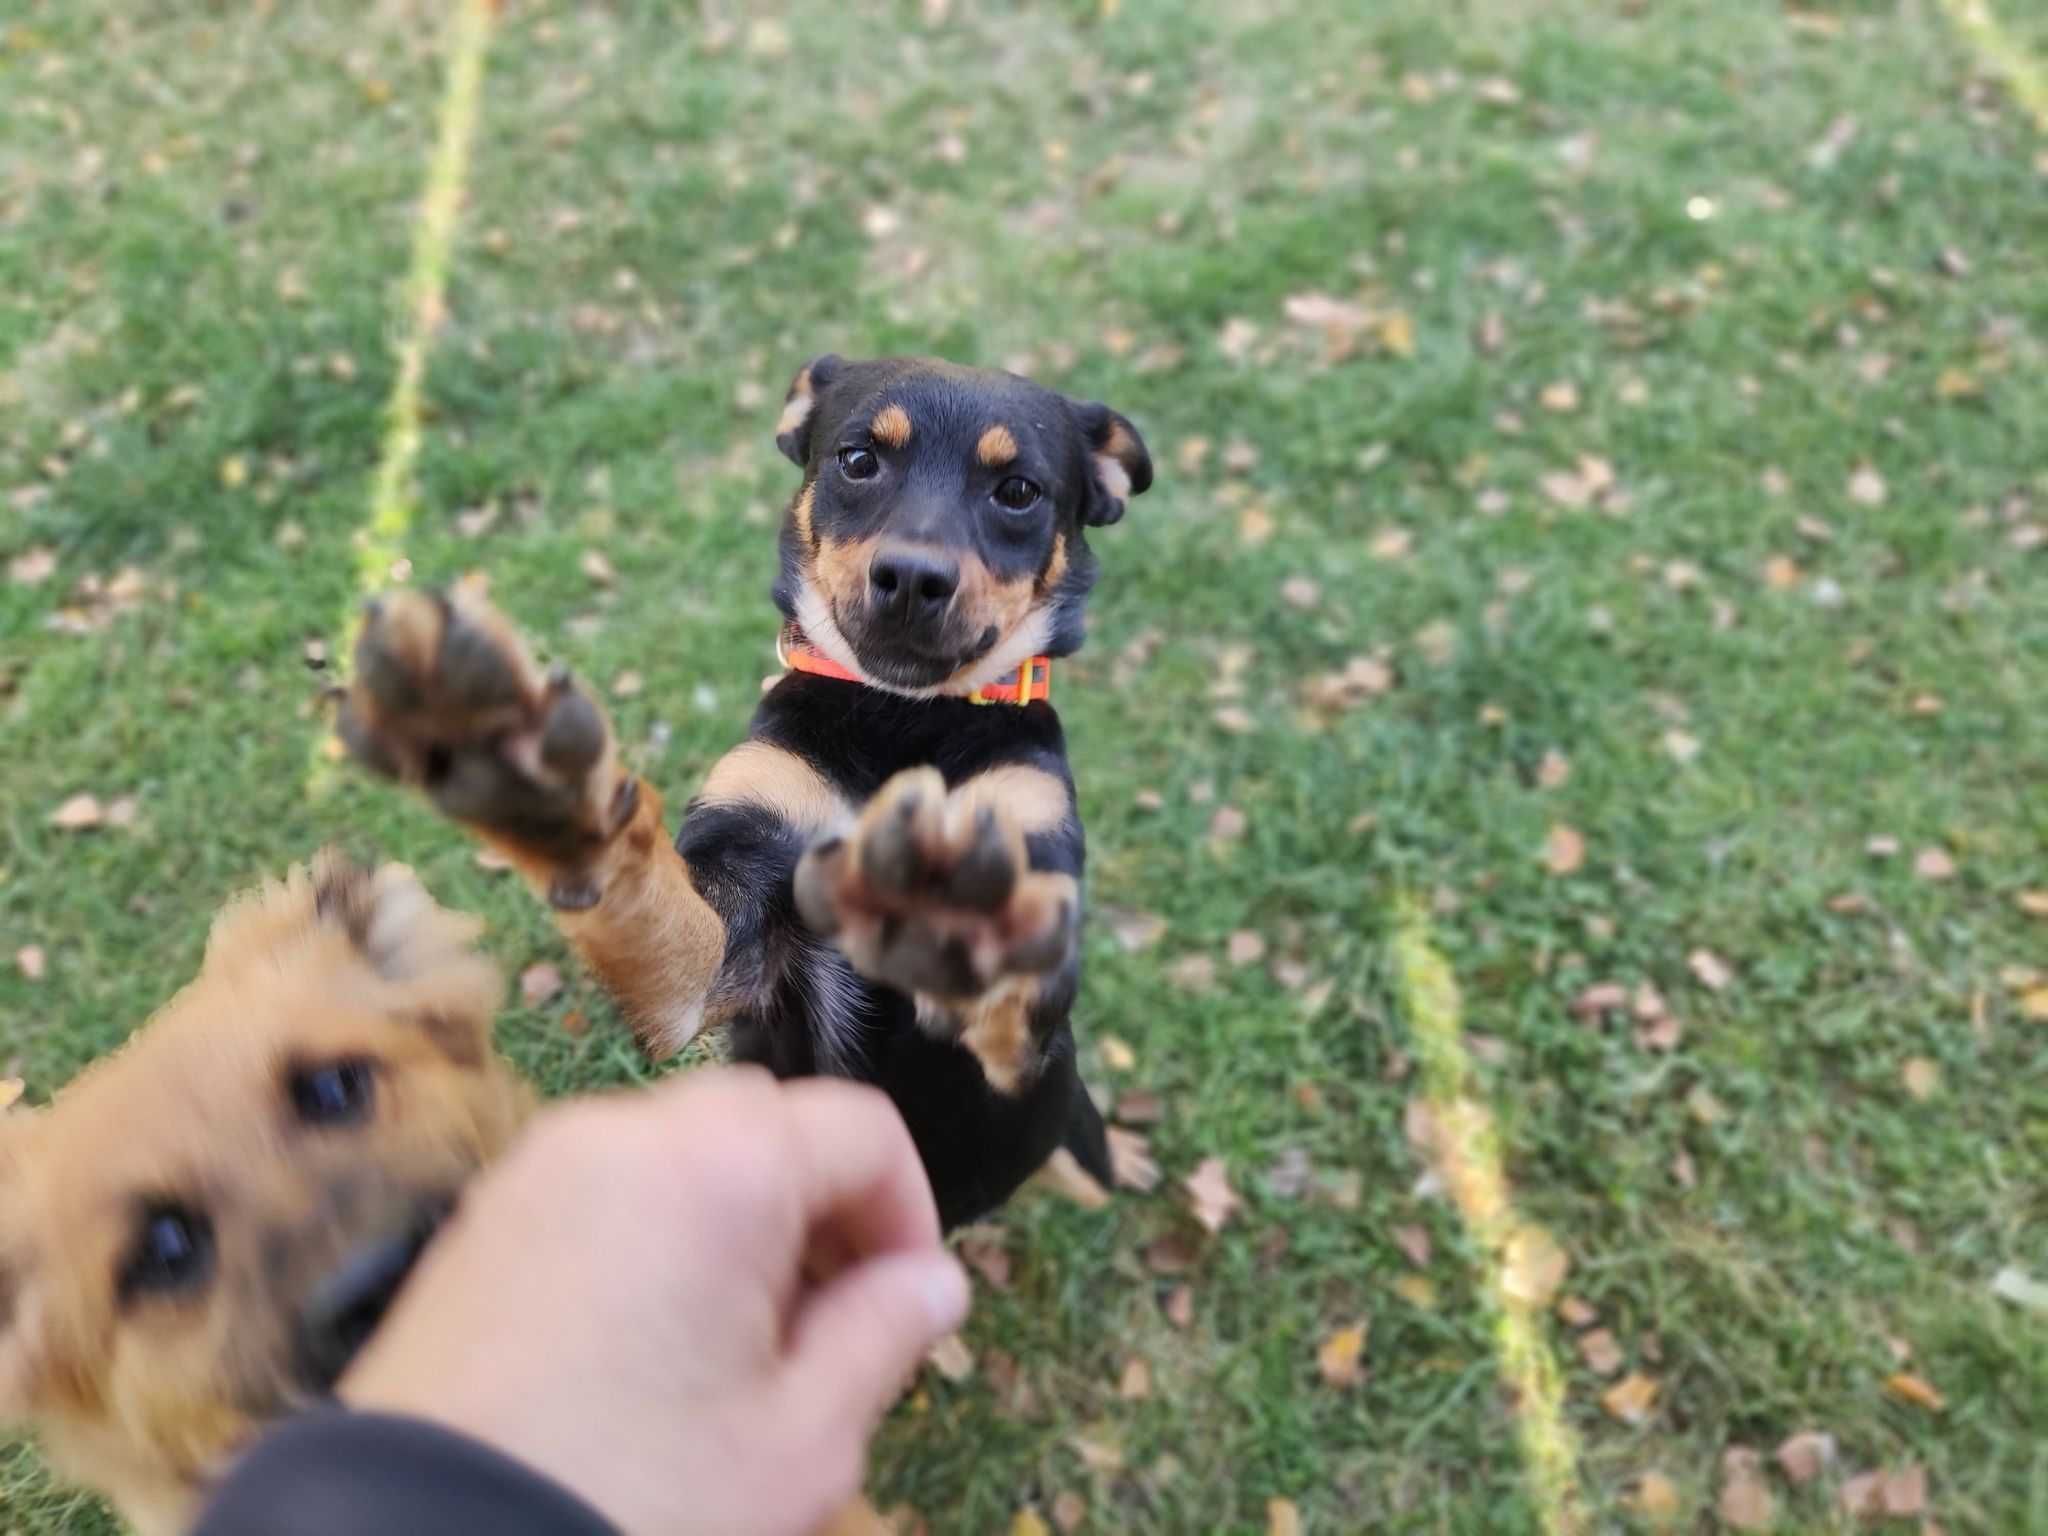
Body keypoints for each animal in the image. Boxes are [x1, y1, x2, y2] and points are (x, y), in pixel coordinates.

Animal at [335, 354, 1155, 1236]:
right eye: (858, 459)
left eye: (1019, 491)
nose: (910, 579)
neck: (903, 717)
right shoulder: (727, 907)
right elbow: (645, 904)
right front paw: (527, 774)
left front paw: (952, 906)